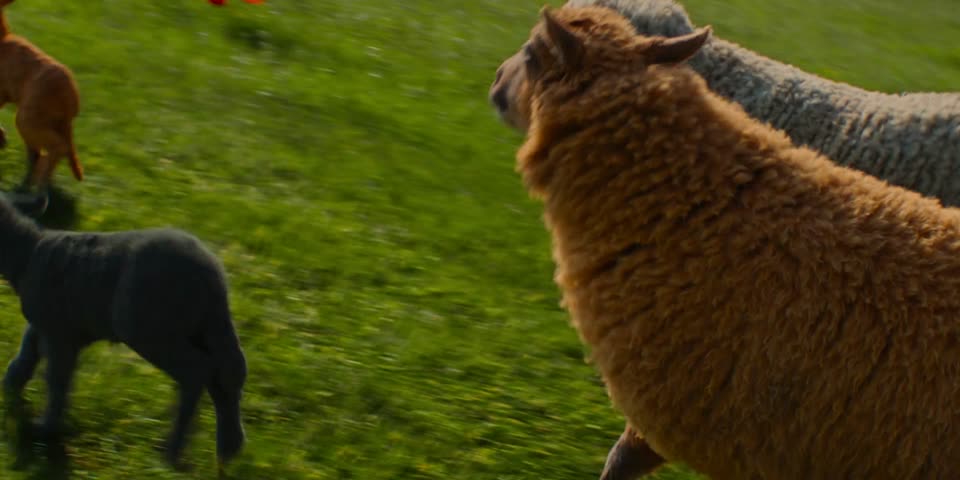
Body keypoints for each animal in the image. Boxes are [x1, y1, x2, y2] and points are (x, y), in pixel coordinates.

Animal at [0, 0, 84, 200]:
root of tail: (70, 103)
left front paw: (2, 138)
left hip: (28, 118)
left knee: (55, 148)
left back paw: (38, 183)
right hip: (48, 122)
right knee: (45, 152)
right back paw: (35, 181)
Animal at [0, 194, 247, 471]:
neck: (26, 253)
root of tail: (211, 278)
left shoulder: (59, 334)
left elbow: (56, 379)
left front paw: (46, 428)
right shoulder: (48, 325)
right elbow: (25, 357)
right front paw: (11, 393)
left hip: (150, 328)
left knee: (196, 373)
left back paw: (172, 452)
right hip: (206, 326)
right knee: (227, 374)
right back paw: (228, 448)